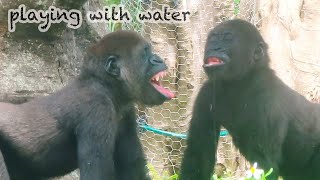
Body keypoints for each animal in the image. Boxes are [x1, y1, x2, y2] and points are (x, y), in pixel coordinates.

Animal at [0, 30, 175, 179]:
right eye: (145, 53)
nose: (159, 59)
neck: (106, 86)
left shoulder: (126, 112)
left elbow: (132, 168)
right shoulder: (98, 109)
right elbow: (97, 174)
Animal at [179, 19, 320, 179]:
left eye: (228, 38)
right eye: (213, 38)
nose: (215, 47)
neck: (243, 79)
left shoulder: (266, 98)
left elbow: (265, 163)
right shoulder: (207, 92)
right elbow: (199, 154)